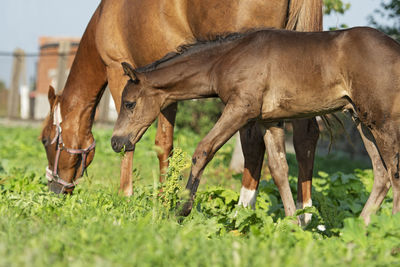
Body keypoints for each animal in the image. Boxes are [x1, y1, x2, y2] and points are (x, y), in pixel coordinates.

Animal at [111, 27, 400, 224]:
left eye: (129, 103)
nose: (116, 142)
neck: (226, 58)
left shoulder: (241, 108)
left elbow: (203, 150)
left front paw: (180, 211)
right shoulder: (267, 120)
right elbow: (279, 169)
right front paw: (293, 224)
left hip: (383, 123)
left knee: (394, 173)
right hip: (363, 122)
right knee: (382, 174)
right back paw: (362, 228)